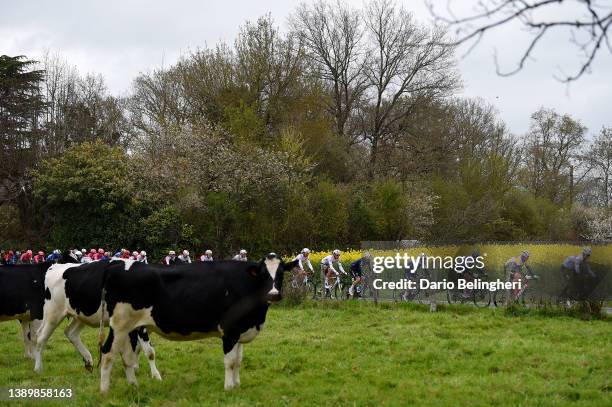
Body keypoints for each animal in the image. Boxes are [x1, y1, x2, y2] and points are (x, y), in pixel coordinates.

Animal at [33, 260, 161, 380]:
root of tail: (56, 266)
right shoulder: (139, 326)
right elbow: (149, 351)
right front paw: (156, 376)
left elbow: (137, 348)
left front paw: (134, 368)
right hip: (53, 313)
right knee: (41, 337)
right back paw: (38, 368)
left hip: (81, 314)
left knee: (70, 332)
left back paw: (88, 360)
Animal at [98, 255, 296, 392]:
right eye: (263, 274)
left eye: (281, 273)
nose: (273, 294)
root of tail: (116, 266)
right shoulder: (229, 331)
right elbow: (231, 361)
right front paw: (229, 388)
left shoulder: (240, 330)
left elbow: (239, 360)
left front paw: (237, 384)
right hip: (119, 324)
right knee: (108, 352)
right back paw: (104, 391)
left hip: (130, 328)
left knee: (127, 355)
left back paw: (134, 385)